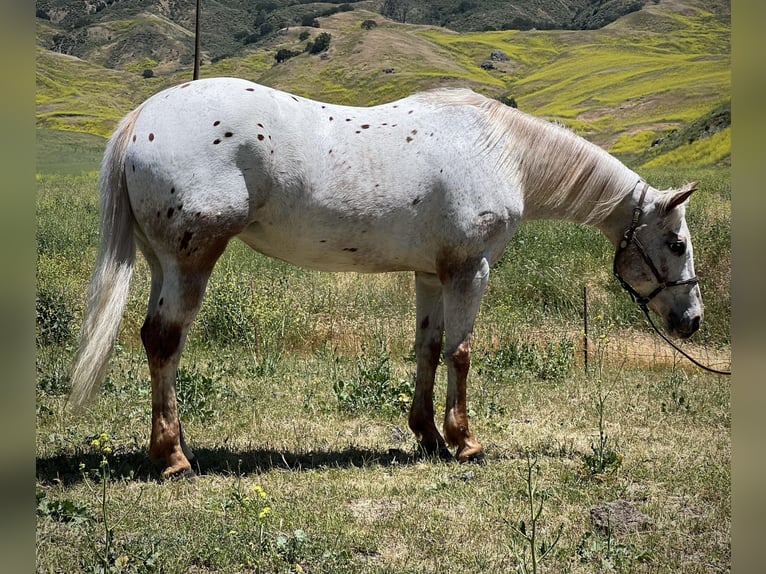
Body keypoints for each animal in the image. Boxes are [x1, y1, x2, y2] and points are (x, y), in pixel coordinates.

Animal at [69, 77, 704, 482]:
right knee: (165, 341)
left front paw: (427, 436)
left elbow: (428, 349)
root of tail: (144, 117)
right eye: (676, 244)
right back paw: (173, 458)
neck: (503, 151)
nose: (692, 321)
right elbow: (462, 353)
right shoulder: (470, 270)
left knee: (154, 339)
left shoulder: (431, 275)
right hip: (190, 262)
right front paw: (464, 442)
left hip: (162, 263)